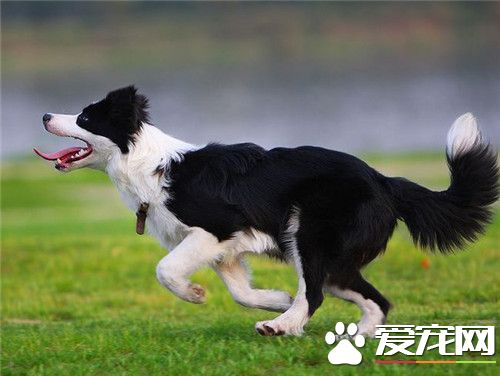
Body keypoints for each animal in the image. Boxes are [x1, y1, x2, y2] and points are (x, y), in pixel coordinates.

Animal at [33, 86, 498, 336]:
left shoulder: (217, 228)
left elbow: (165, 270)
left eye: (85, 117)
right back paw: (352, 337)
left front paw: (195, 295)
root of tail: (386, 181)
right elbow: (240, 291)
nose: (44, 114)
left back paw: (284, 327)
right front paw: (274, 300)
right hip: (335, 261)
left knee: (315, 292)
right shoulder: (225, 249)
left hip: (308, 236)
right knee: (373, 299)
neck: (147, 165)